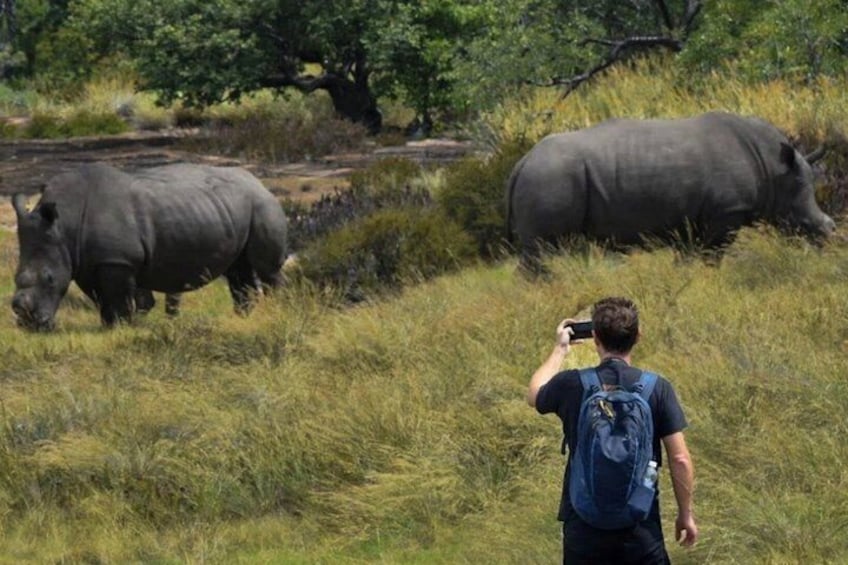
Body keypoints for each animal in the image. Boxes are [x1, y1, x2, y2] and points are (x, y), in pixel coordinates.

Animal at [11, 162, 288, 330]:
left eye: (49, 278)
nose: (29, 325)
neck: (65, 225)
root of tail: (260, 182)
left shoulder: (117, 261)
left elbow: (118, 298)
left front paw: (120, 327)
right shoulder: (88, 262)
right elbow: (101, 297)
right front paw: (108, 325)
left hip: (262, 205)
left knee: (267, 270)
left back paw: (279, 311)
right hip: (231, 209)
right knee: (238, 271)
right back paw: (244, 318)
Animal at [506, 111, 836, 270]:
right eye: (798, 201)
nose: (829, 233)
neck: (771, 165)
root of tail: (520, 163)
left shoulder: (691, 220)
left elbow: (688, 259)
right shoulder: (726, 212)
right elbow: (713, 256)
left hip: (548, 175)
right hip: (550, 177)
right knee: (543, 250)